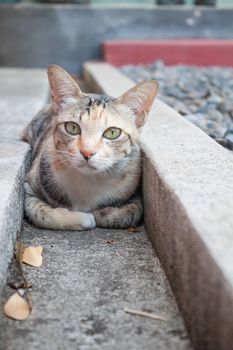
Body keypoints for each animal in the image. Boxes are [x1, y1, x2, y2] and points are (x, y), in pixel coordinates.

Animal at [22, 64, 158, 231]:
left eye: (113, 132)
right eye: (72, 127)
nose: (87, 152)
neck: (88, 180)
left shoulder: (136, 193)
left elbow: (130, 213)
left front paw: (101, 214)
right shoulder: (29, 188)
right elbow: (40, 213)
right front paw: (82, 218)